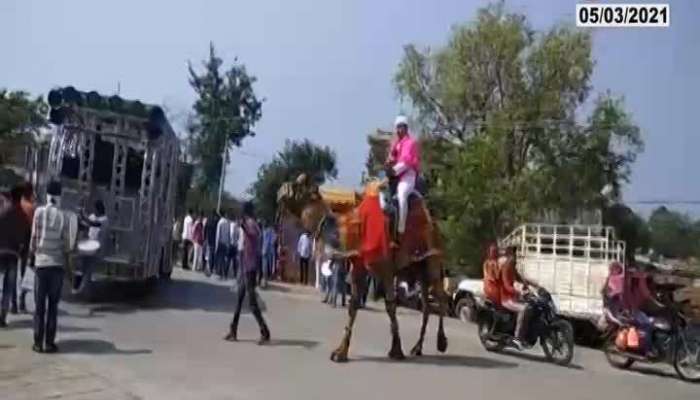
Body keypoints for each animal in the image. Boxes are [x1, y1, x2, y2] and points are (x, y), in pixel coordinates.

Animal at [278, 175, 448, 362]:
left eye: (300, 185)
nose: (281, 189)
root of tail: (435, 225)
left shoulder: (386, 268)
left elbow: (390, 306)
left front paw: (396, 350)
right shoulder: (359, 265)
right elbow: (353, 304)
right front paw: (340, 352)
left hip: (433, 261)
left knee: (440, 298)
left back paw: (441, 342)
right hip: (418, 270)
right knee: (426, 306)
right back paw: (417, 348)